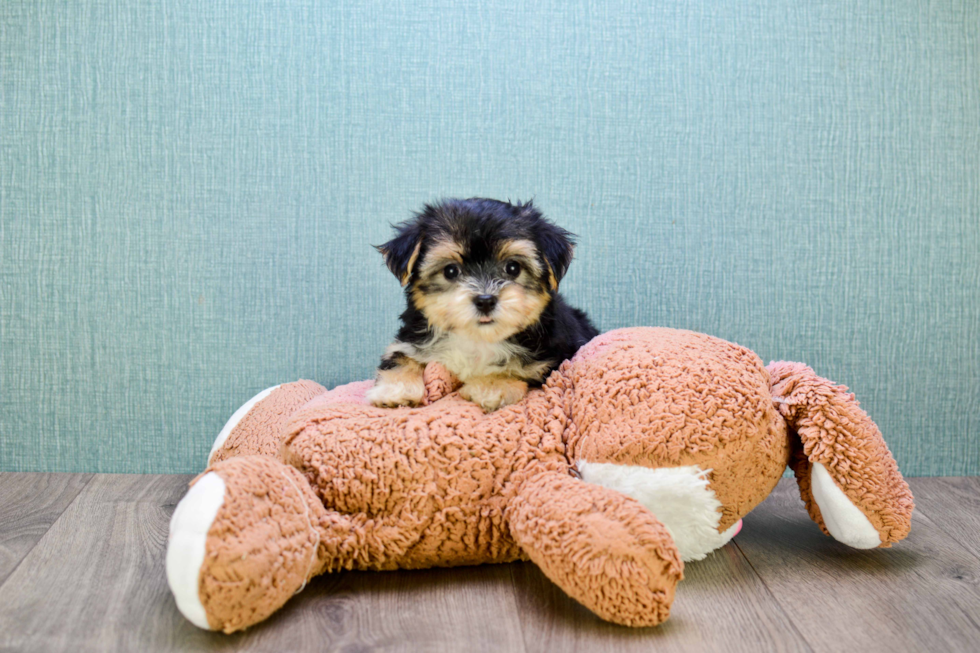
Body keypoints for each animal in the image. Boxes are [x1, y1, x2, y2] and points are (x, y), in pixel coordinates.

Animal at [366, 197, 596, 412]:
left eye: (513, 267)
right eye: (451, 271)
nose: (485, 301)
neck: (477, 339)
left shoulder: (554, 359)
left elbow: (514, 367)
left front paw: (494, 386)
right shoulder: (411, 339)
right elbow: (400, 354)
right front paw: (396, 389)